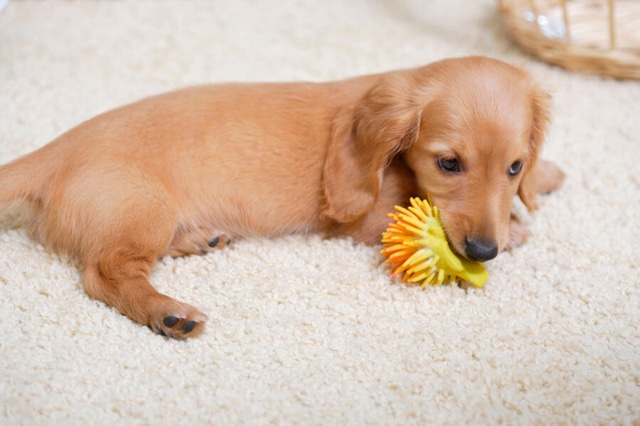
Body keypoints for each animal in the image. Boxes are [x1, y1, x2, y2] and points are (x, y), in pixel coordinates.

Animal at [0, 56, 564, 340]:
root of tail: (53, 152)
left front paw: (546, 176)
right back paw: (168, 312)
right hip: (141, 209)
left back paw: (202, 239)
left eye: (515, 166)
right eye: (448, 164)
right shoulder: (365, 219)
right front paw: (517, 230)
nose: (483, 252)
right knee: (105, 272)